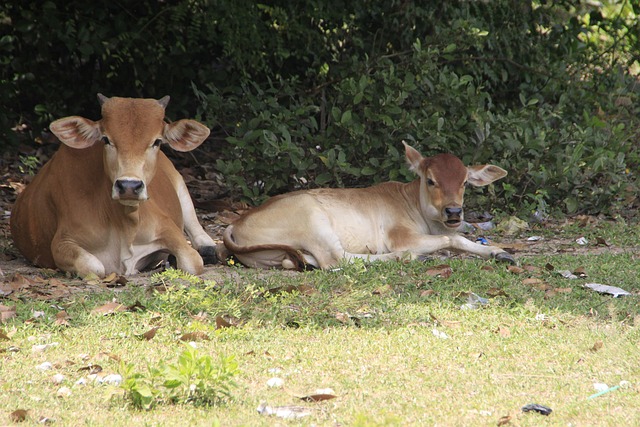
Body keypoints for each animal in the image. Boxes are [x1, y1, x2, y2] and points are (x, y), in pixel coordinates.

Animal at [10, 94, 217, 277]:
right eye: (106, 139)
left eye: (157, 141)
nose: (129, 186)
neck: (124, 223)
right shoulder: (63, 241)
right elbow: (94, 267)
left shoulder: (167, 227)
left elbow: (193, 262)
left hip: (179, 183)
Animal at [217, 142, 515, 269]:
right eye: (430, 180)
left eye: (464, 181)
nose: (454, 211)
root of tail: (235, 223)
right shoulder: (400, 236)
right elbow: (451, 240)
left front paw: (499, 252)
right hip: (314, 222)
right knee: (336, 260)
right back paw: (408, 257)